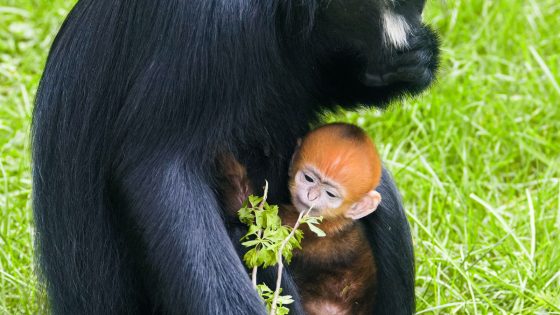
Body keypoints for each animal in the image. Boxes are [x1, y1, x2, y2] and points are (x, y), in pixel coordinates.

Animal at [217, 123, 382, 315]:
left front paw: (227, 165)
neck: (338, 220)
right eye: (309, 178)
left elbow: (250, 218)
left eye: (331, 194)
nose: (312, 196)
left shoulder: (307, 229)